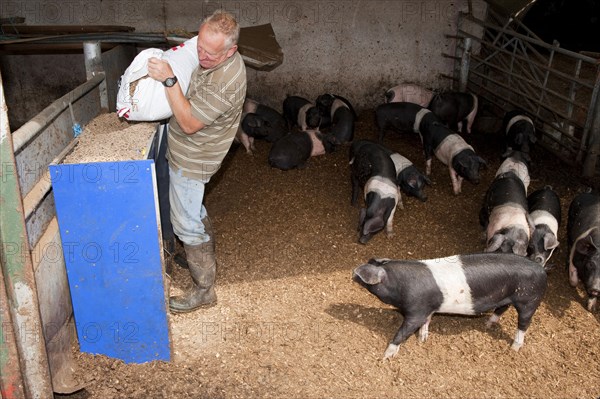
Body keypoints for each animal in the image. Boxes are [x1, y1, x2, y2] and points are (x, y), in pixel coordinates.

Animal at [352, 253, 548, 360]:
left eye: (362, 276)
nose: (352, 274)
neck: (399, 286)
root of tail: (542, 269)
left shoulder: (416, 310)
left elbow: (403, 331)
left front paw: (386, 355)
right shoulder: (428, 308)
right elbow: (426, 322)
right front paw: (422, 340)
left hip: (529, 299)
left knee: (524, 324)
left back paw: (514, 348)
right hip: (506, 297)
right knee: (501, 309)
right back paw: (488, 324)